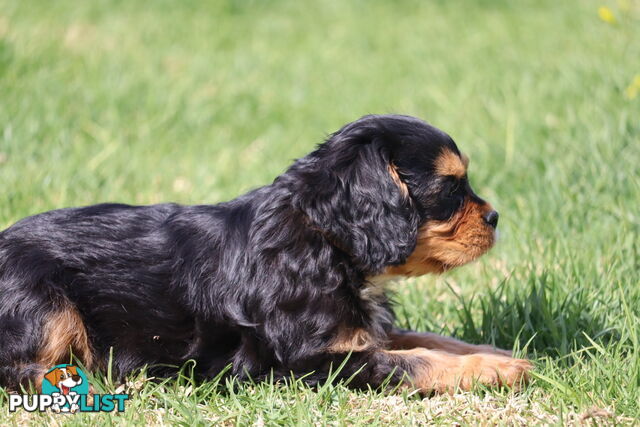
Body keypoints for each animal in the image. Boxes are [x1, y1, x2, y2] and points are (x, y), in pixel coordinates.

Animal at [0, 113, 528, 394]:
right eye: (449, 189)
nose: (496, 217)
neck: (323, 244)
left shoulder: (357, 332)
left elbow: (429, 340)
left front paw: (498, 353)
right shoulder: (304, 362)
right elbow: (408, 361)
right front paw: (499, 369)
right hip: (43, 305)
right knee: (22, 370)